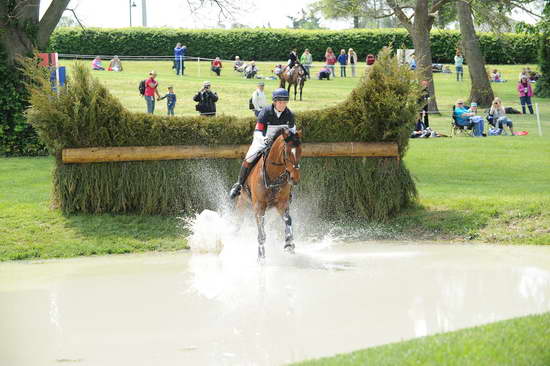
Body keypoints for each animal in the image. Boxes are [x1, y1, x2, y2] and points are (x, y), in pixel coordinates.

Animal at [238, 129, 306, 260]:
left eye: (300, 151)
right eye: (286, 152)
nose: (295, 178)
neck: (273, 175)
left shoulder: (282, 204)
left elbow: (288, 221)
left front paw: (289, 245)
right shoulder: (259, 207)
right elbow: (261, 234)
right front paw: (261, 258)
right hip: (242, 204)